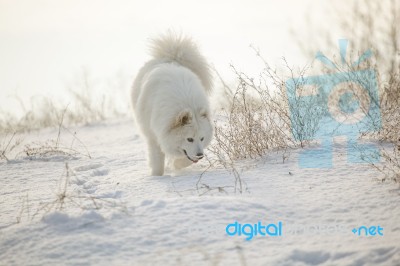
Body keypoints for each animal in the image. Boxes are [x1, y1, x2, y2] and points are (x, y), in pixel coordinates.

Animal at [130, 32, 212, 176]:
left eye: (202, 138)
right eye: (189, 139)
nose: (200, 155)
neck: (187, 102)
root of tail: (170, 57)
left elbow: (185, 159)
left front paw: (176, 164)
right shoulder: (154, 134)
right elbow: (157, 159)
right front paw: (156, 176)